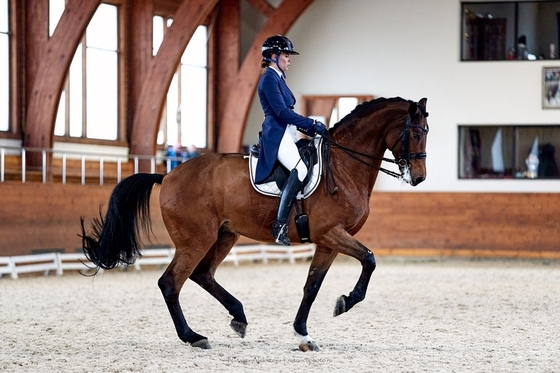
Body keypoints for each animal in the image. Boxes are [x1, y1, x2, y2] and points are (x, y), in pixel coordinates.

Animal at [80, 96, 428, 352]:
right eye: (416, 133)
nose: (419, 178)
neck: (343, 167)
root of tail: (167, 175)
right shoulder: (332, 233)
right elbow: (369, 259)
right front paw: (345, 302)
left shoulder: (328, 241)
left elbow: (312, 286)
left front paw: (303, 335)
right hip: (196, 239)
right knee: (171, 283)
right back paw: (194, 336)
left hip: (224, 235)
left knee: (203, 275)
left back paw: (239, 316)